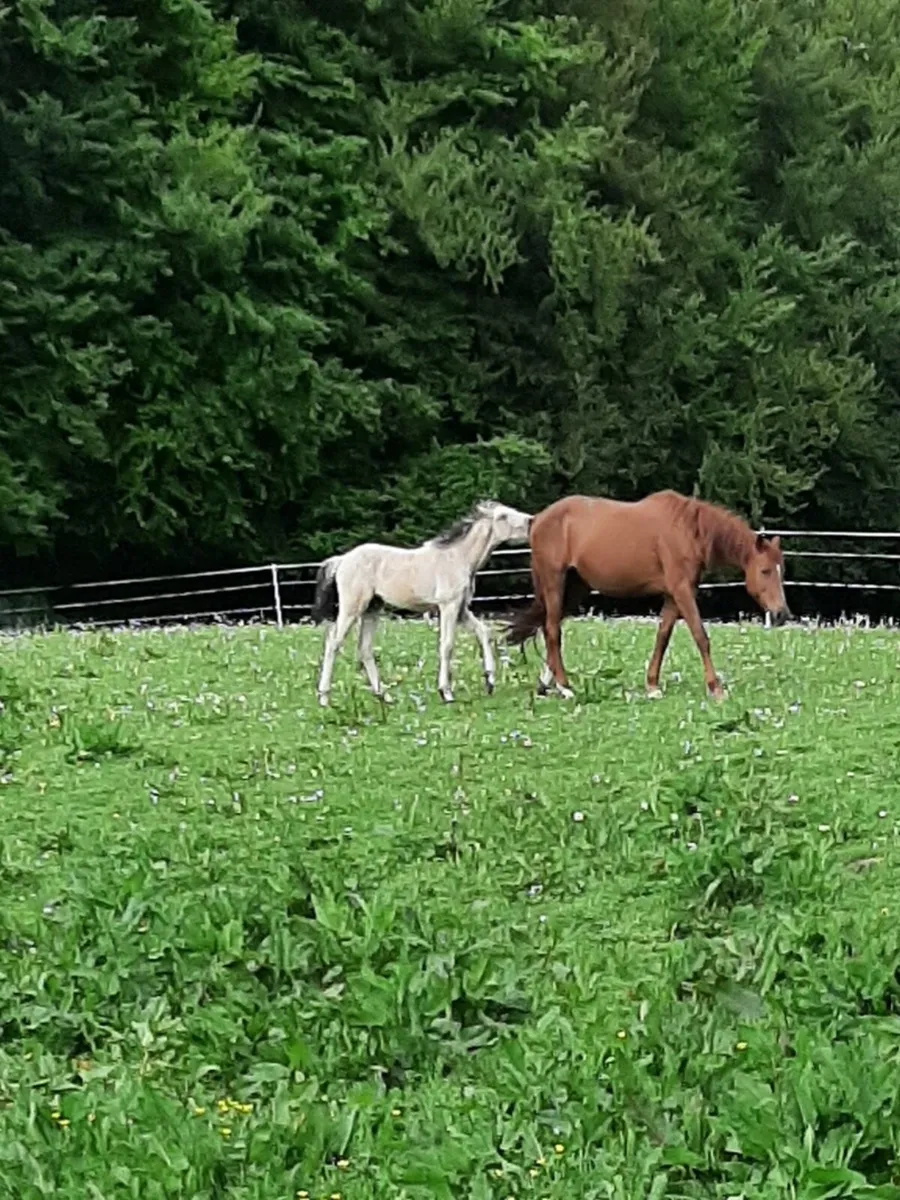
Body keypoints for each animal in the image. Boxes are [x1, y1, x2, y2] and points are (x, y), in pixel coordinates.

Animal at [311, 500, 533, 706]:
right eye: (503, 516)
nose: (531, 521)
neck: (458, 558)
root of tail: (342, 560)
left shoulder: (461, 609)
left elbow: (483, 632)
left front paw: (490, 680)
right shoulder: (448, 606)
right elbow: (447, 644)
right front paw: (446, 692)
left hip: (372, 609)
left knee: (364, 648)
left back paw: (384, 696)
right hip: (353, 607)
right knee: (333, 642)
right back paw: (324, 697)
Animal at [506, 490, 790, 701]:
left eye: (781, 570)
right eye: (765, 571)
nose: (781, 614)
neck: (689, 530)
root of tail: (537, 519)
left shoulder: (673, 595)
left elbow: (662, 637)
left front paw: (652, 686)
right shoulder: (682, 591)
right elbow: (700, 636)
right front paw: (715, 688)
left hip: (576, 587)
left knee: (548, 628)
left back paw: (547, 683)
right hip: (554, 582)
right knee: (552, 630)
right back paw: (565, 687)